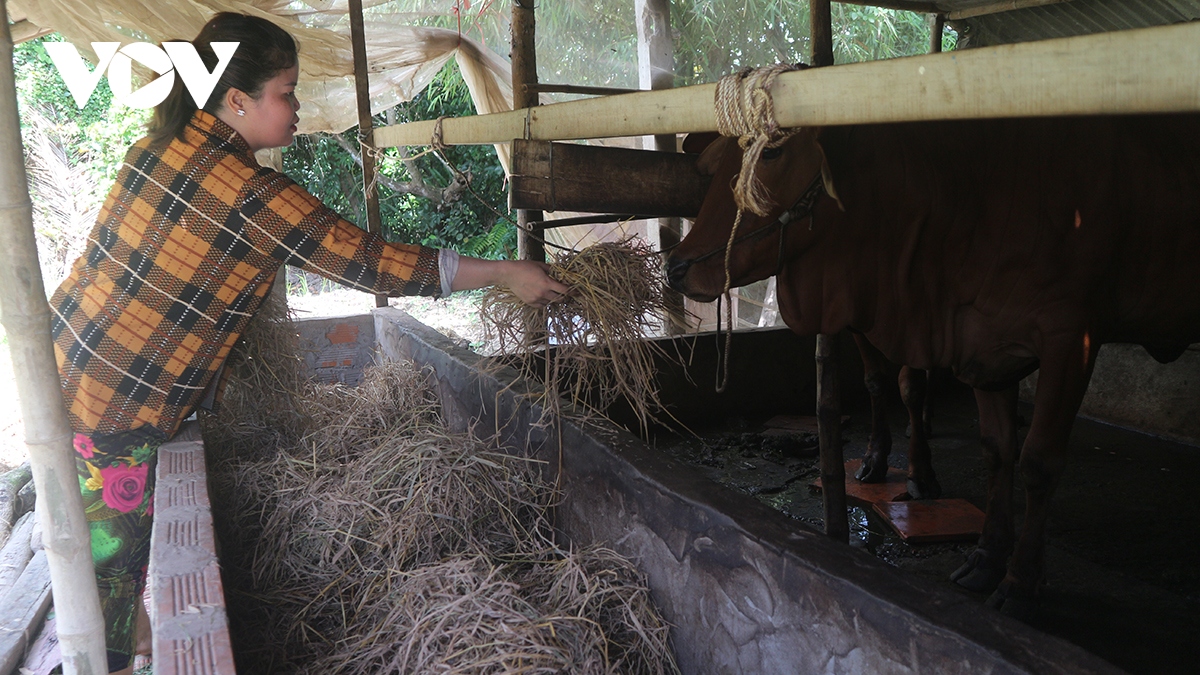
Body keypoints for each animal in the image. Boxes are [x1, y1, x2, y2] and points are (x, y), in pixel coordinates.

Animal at [667, 115, 1200, 614]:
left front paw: (1020, 580)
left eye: (773, 153)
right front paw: (986, 556)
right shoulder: (979, 340)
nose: (678, 265)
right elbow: (993, 448)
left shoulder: (1071, 339)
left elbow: (1036, 461)